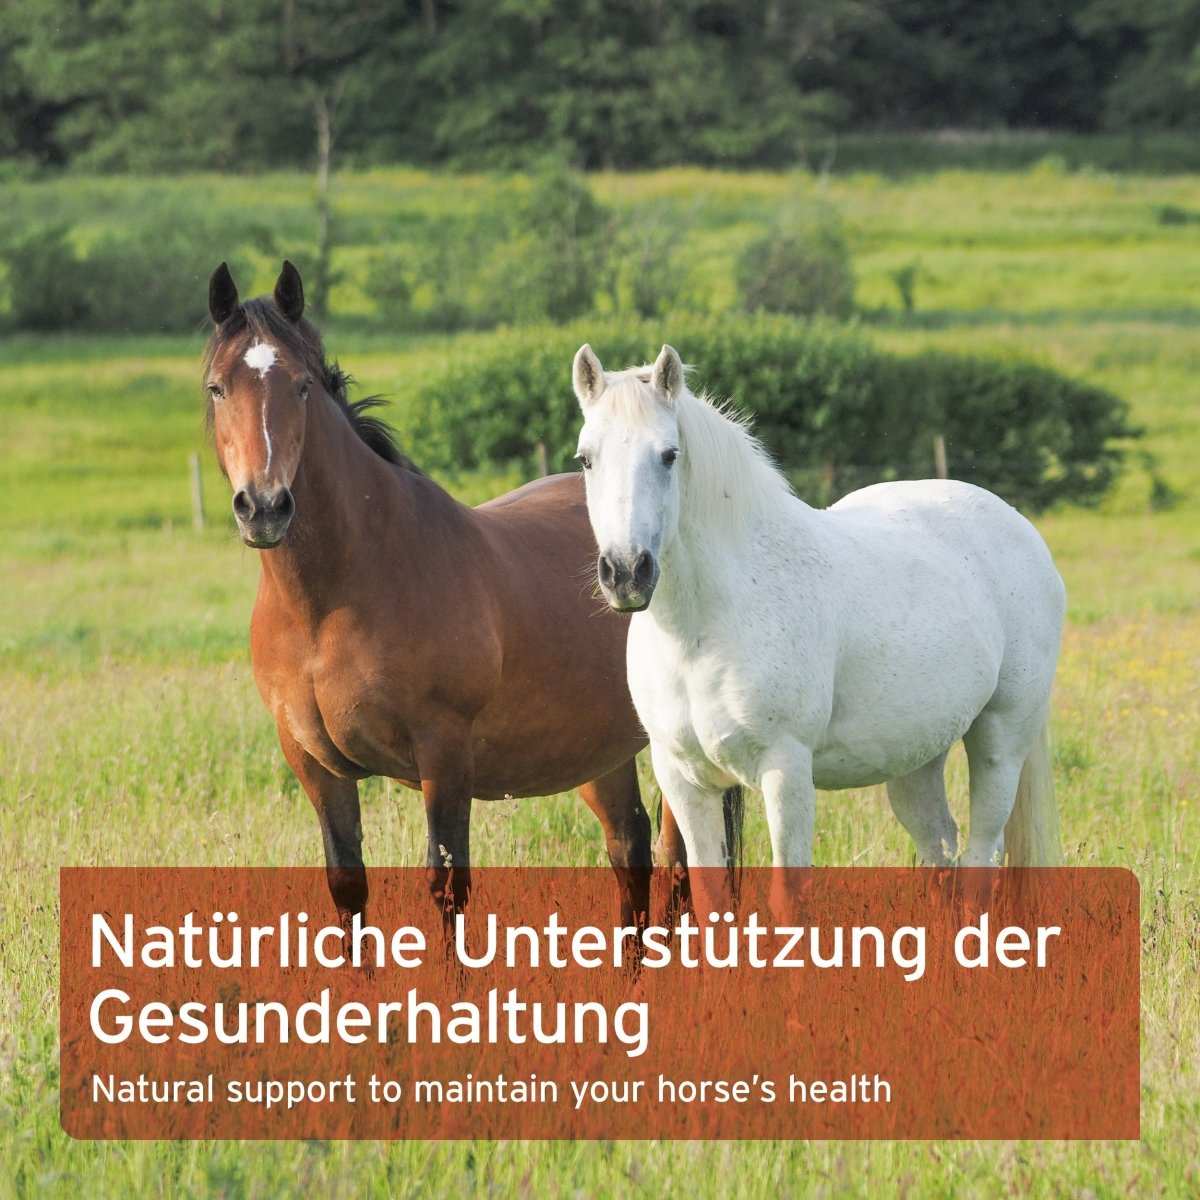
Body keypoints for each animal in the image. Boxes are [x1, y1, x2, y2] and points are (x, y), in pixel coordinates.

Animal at [202, 259, 667, 930]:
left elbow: (447, 884)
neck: (329, 603)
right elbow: (347, 887)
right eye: (217, 388)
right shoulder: (315, 767)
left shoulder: (443, 756)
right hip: (602, 753)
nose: (263, 507)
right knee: (630, 845)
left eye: (302, 387)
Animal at [570, 340, 1066, 913]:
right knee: (941, 846)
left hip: (1000, 740)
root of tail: (1018, 526)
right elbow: (710, 898)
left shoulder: (785, 772)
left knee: (981, 856)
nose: (627, 572)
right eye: (586, 459)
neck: (704, 629)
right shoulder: (685, 780)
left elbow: (788, 897)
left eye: (669, 455)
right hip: (918, 757)